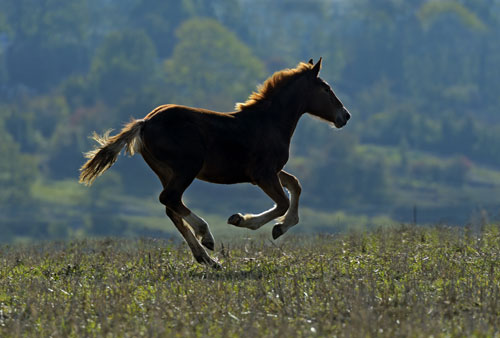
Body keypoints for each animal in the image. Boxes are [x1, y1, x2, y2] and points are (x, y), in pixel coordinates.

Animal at [80, 58, 350, 268]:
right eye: (326, 89)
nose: (345, 116)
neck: (269, 122)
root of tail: (145, 123)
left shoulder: (269, 171)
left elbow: (295, 184)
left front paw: (281, 226)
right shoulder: (262, 174)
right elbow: (283, 201)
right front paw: (246, 221)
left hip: (166, 172)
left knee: (171, 207)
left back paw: (208, 260)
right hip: (187, 168)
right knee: (170, 199)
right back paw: (206, 237)